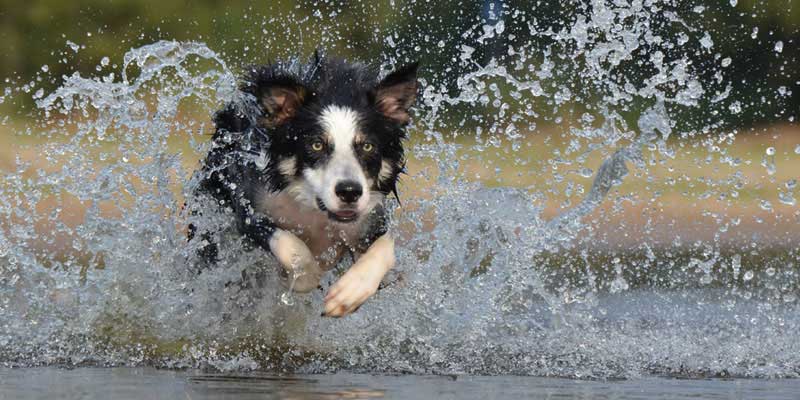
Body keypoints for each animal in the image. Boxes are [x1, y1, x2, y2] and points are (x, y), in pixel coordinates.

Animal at [187, 53, 418, 318]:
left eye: (368, 146)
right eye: (316, 145)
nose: (349, 192)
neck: (313, 210)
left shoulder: (370, 219)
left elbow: (386, 248)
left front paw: (349, 293)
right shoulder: (249, 206)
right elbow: (290, 244)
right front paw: (304, 277)